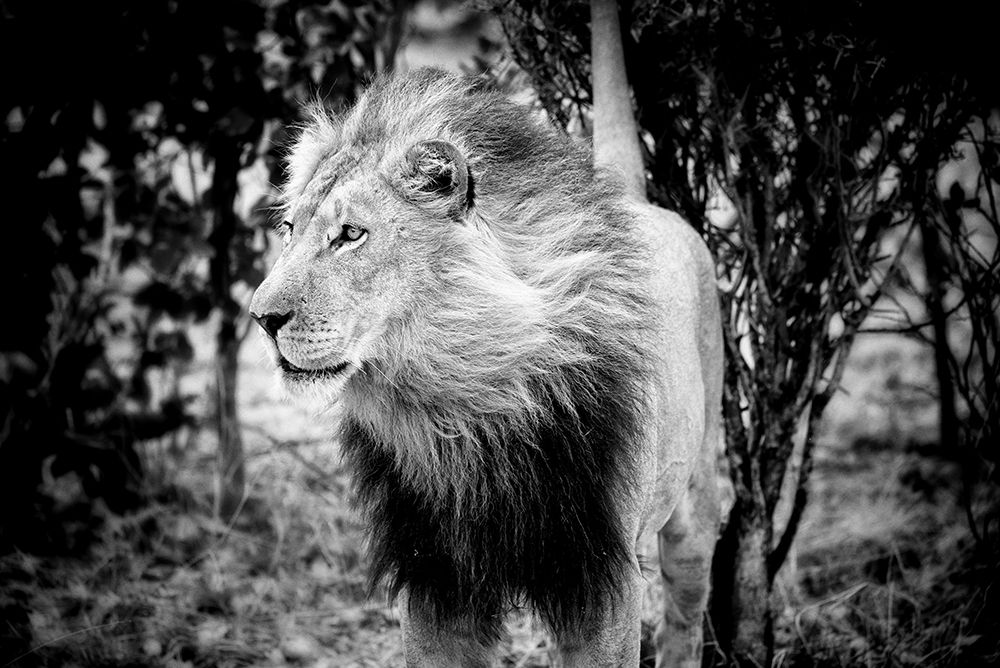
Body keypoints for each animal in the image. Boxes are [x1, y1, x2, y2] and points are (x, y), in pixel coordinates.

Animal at [249, 69, 725, 667]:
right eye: (289, 230)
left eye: (352, 235)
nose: (261, 317)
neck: (464, 407)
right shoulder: (434, 578)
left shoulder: (601, 578)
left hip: (694, 502)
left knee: (685, 612)